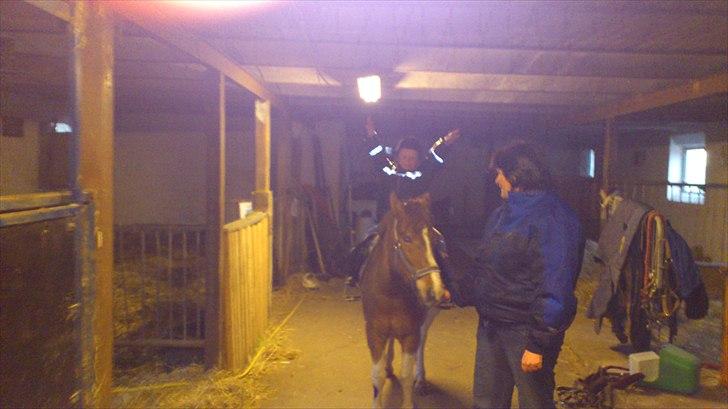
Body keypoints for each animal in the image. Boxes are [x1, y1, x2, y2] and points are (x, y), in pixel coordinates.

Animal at [360, 192, 448, 409]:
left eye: (434, 238)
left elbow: (406, 375)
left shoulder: (410, 333)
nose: (436, 290)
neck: (391, 293)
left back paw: (421, 379)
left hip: (427, 317)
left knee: (422, 341)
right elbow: (377, 376)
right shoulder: (375, 334)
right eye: (407, 238)